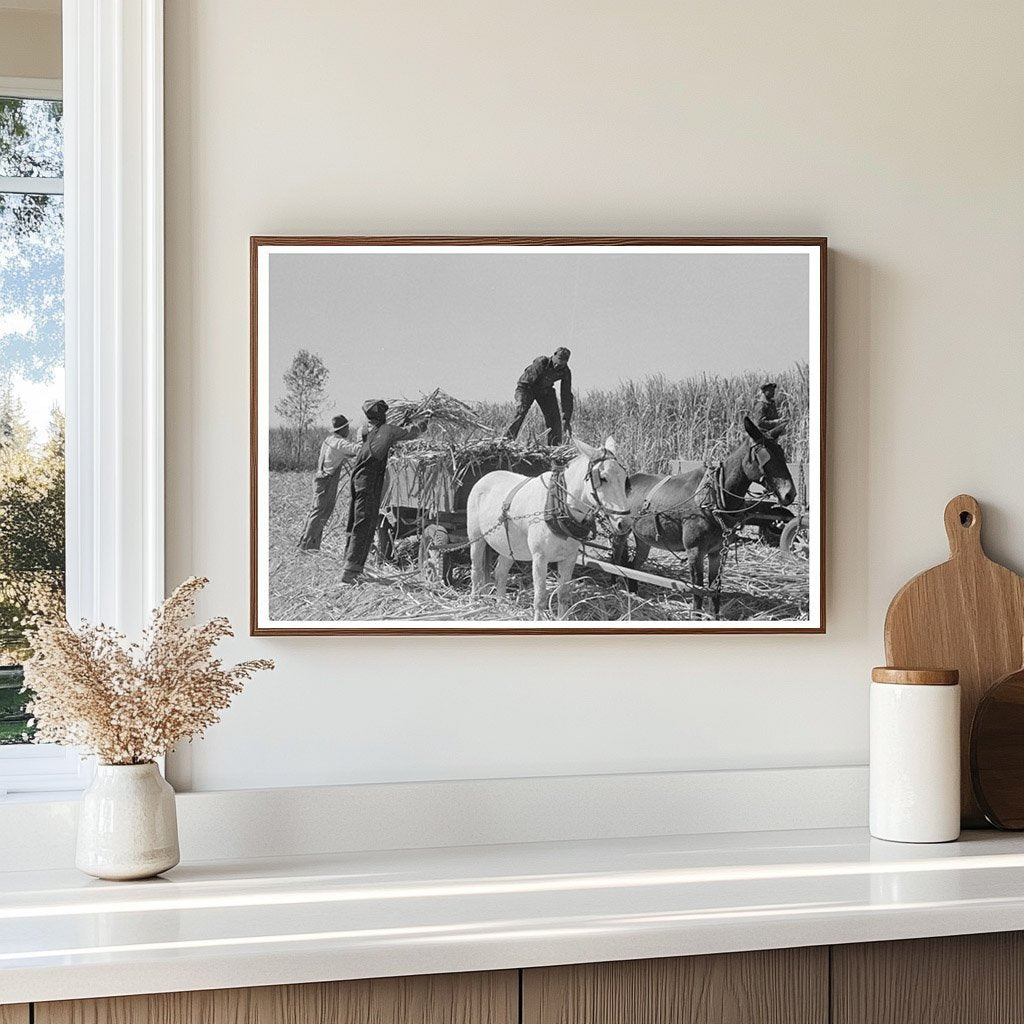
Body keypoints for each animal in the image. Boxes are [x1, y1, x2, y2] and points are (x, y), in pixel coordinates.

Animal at [466, 436, 630, 618]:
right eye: (602, 478)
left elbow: (563, 594)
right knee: (476, 570)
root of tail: (486, 476)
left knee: (500, 573)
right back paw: (473, 604)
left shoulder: (569, 558)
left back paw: (501, 606)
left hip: (508, 546)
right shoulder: (540, 558)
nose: (624, 523)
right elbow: (540, 598)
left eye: (624, 479)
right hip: (476, 539)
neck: (559, 508)